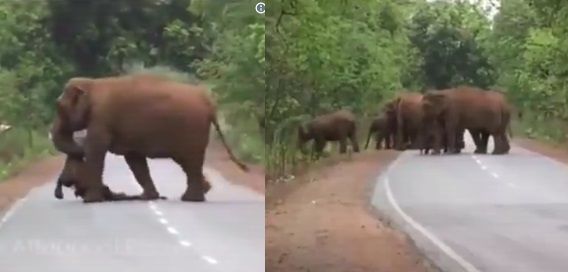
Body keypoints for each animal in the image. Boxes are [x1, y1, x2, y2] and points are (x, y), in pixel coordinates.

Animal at [52, 74, 246, 202]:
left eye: (59, 107)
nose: (63, 188)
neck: (92, 83)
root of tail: (209, 102)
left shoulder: (101, 118)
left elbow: (96, 151)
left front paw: (91, 200)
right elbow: (134, 159)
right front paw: (148, 197)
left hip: (192, 129)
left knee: (190, 162)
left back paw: (191, 199)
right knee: (188, 163)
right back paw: (202, 191)